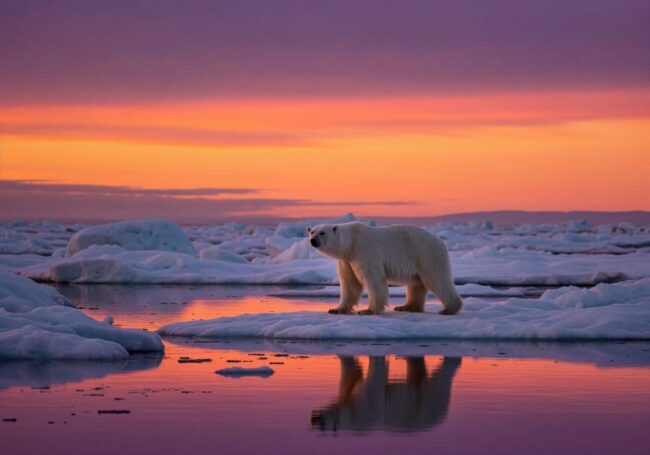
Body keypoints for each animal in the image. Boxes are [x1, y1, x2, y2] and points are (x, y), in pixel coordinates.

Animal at [307, 222, 463, 315]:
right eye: (312, 231)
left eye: (322, 232)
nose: (313, 240)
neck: (351, 243)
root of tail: (441, 242)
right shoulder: (346, 261)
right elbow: (350, 284)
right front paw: (336, 309)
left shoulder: (364, 250)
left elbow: (373, 280)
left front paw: (368, 310)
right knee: (416, 284)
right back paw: (406, 307)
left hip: (426, 254)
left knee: (437, 280)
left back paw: (449, 309)